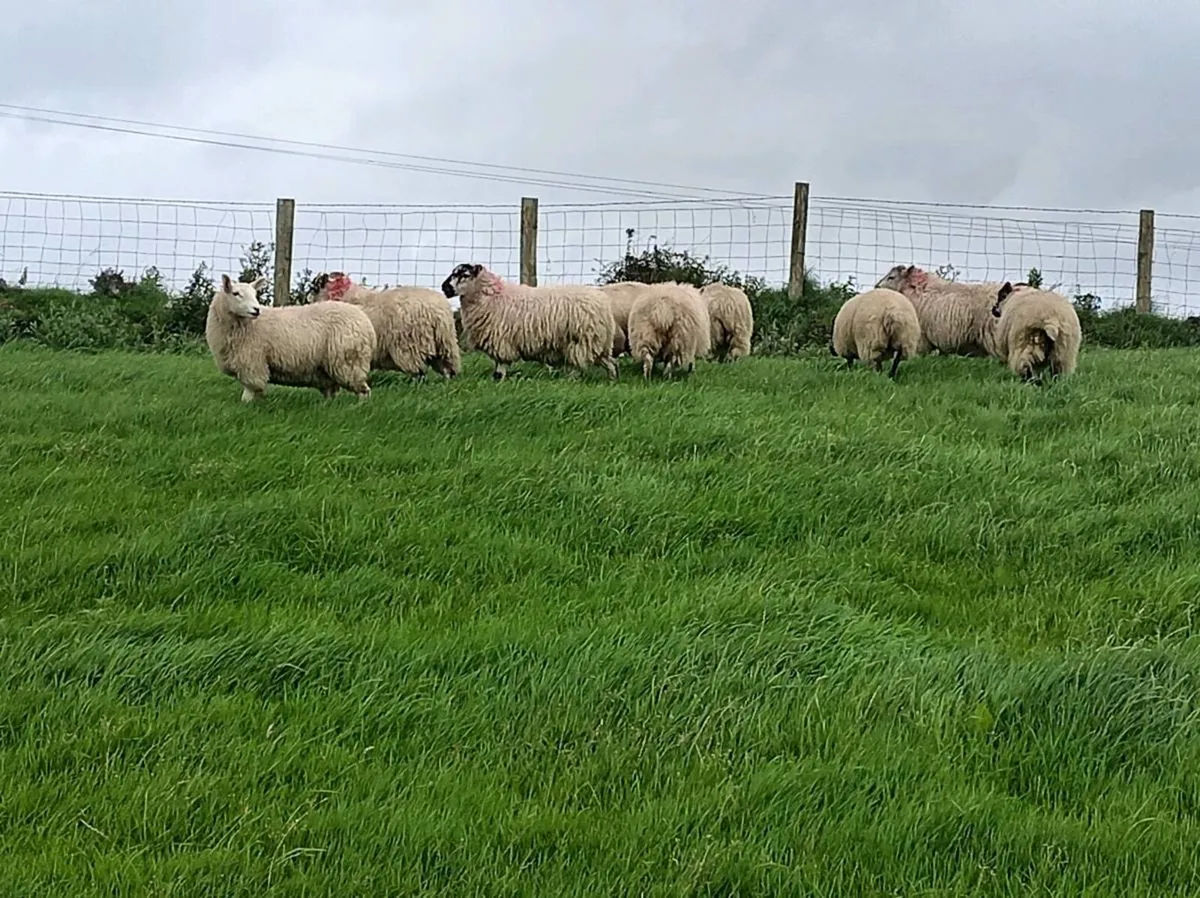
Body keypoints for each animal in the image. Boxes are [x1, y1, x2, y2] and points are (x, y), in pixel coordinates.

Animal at [205, 274, 375, 402]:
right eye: (236, 293)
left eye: (255, 294)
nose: (256, 310)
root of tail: (365, 321)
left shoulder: (252, 364)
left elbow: (249, 391)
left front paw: (247, 405)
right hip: (328, 367)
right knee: (331, 390)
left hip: (349, 359)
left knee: (364, 390)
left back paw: (359, 408)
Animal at [311, 271, 461, 380]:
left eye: (316, 286)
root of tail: (437, 310)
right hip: (445, 344)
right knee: (448, 368)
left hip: (410, 346)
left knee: (419, 371)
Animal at [440, 262, 617, 381]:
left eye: (464, 274)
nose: (444, 288)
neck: (491, 296)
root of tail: (604, 305)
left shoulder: (500, 341)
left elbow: (500, 367)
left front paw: (498, 380)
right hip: (598, 343)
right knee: (610, 363)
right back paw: (611, 380)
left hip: (580, 340)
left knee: (579, 364)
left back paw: (571, 380)